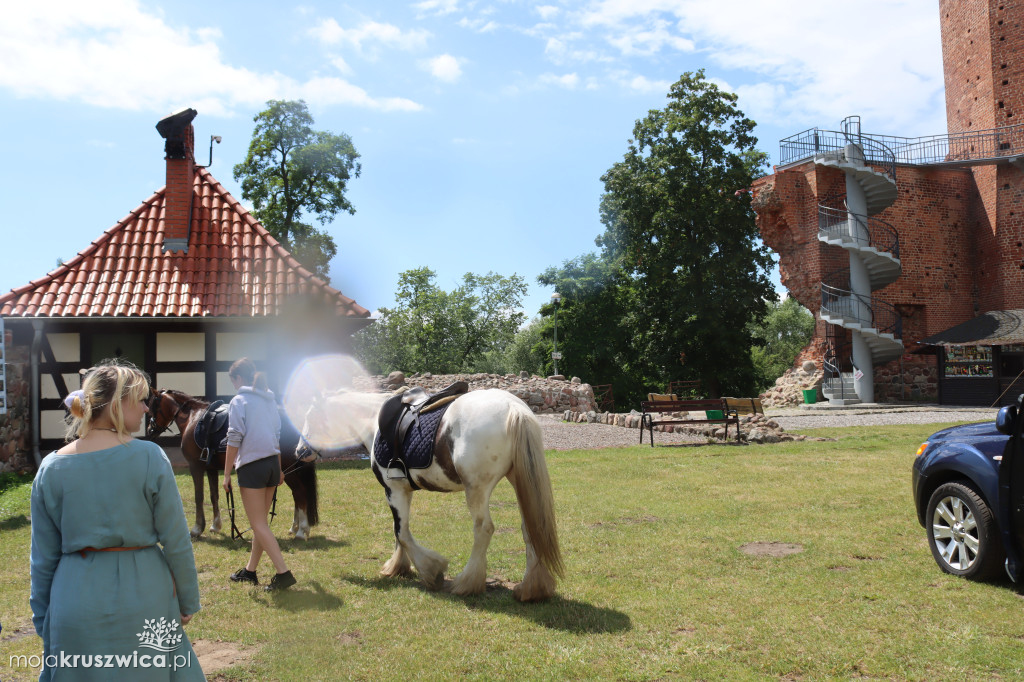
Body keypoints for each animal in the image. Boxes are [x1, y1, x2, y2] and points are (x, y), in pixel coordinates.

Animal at [146, 387, 317, 536]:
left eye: (153, 405)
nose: (149, 430)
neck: (191, 419)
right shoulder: (211, 468)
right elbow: (214, 495)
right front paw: (215, 525)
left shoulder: (195, 467)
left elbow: (199, 496)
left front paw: (197, 528)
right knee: (297, 495)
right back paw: (295, 527)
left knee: (300, 492)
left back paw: (302, 531)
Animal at [303, 387, 565, 602]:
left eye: (311, 417)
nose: (300, 451)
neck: (374, 421)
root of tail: (514, 407)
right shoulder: (403, 490)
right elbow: (399, 531)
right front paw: (398, 567)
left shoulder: (393, 490)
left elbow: (402, 533)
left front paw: (431, 570)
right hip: (519, 481)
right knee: (530, 528)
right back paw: (531, 589)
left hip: (477, 489)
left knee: (483, 529)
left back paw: (466, 583)